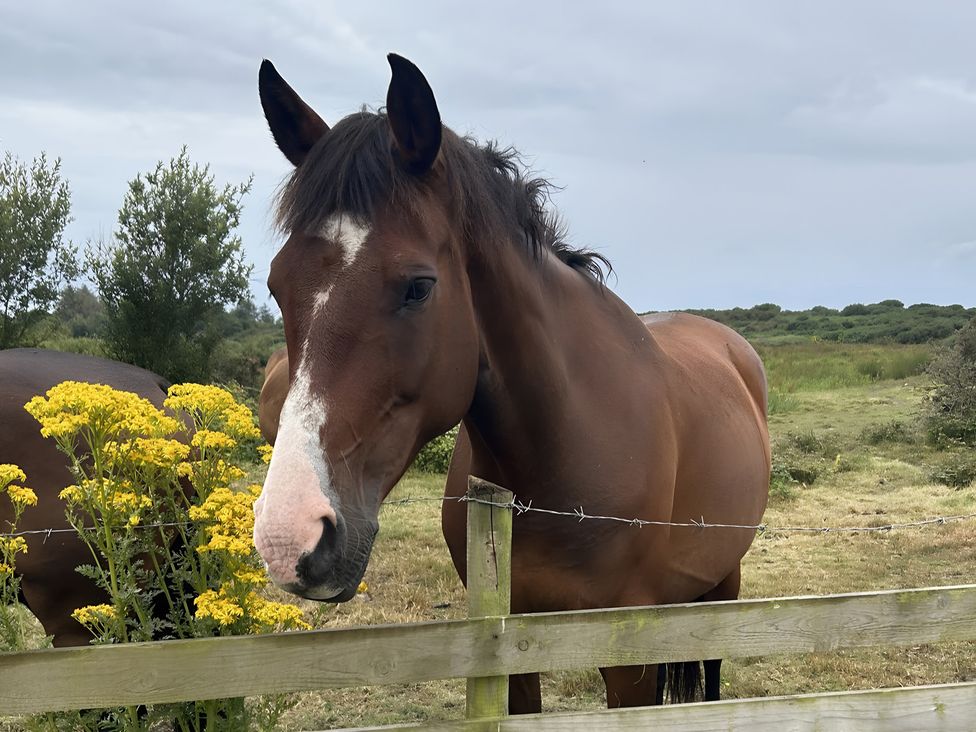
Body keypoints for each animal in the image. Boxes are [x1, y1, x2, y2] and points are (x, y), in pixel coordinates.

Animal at [252, 54, 771, 713]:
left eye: (418, 286)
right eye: (276, 285)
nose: (288, 536)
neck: (566, 454)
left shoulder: (626, 655)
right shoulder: (509, 642)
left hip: (724, 585)